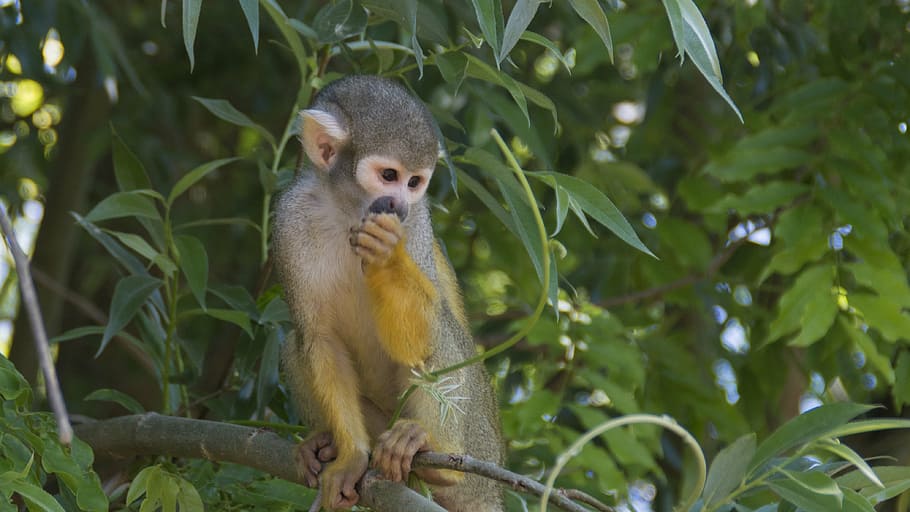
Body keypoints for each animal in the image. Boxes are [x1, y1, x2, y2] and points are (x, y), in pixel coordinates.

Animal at [272, 76, 503, 511]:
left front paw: (387, 254)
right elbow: (320, 338)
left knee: (439, 329)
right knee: (295, 341)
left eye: (415, 182)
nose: (399, 204)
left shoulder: (419, 222)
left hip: (481, 451)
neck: (349, 212)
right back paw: (324, 445)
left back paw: (435, 455)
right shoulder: (289, 219)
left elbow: (417, 340)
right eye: (389, 174)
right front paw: (350, 457)